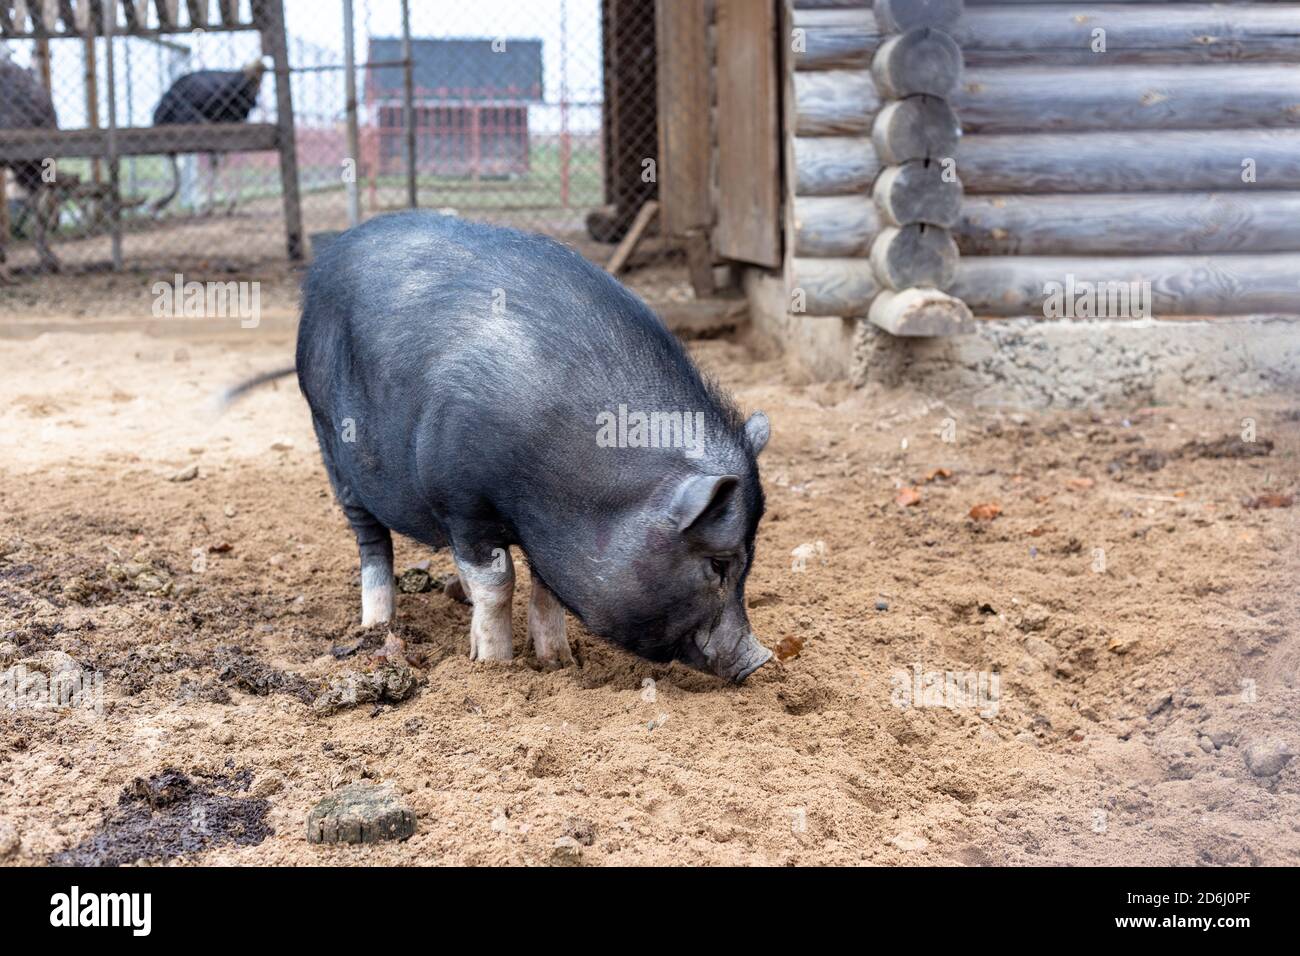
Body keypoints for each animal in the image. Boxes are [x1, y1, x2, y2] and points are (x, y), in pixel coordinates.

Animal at [249, 212, 772, 682]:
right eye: (719, 564)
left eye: (750, 558)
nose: (760, 659)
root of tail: (327, 261)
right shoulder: (462, 500)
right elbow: (500, 584)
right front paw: (494, 667)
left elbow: (545, 590)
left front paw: (559, 664)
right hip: (327, 435)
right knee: (372, 539)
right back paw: (377, 627)